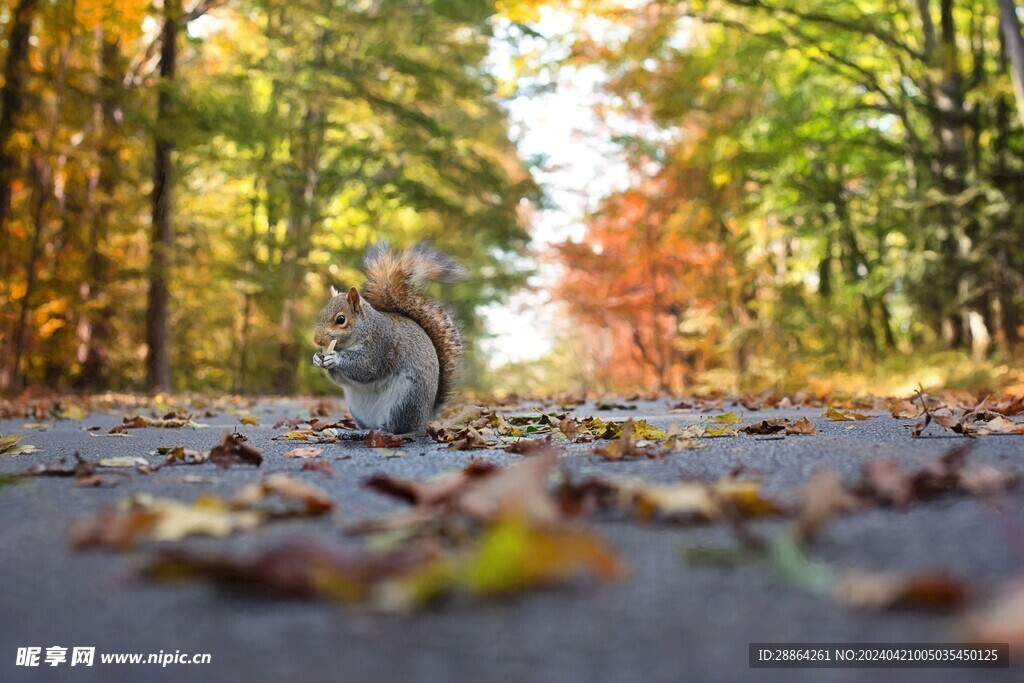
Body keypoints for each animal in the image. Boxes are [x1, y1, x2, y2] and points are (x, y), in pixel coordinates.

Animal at [307, 241, 460, 432]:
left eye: (340, 319)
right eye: (321, 314)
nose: (317, 340)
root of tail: (425, 416)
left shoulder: (381, 345)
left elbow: (366, 368)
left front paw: (334, 358)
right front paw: (317, 358)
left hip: (405, 401)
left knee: (396, 428)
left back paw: (380, 431)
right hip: (357, 409)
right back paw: (361, 431)